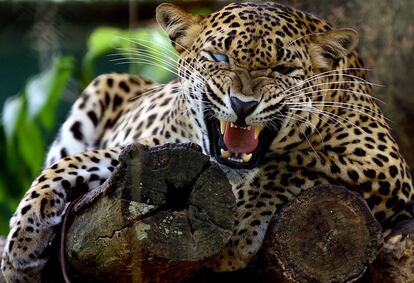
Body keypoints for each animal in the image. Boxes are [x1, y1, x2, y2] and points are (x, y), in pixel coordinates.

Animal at [1, 2, 412, 283]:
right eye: (218, 57)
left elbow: (290, 164)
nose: (243, 105)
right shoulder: (155, 150)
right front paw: (21, 241)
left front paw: (237, 236)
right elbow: (70, 165)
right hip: (106, 84)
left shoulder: (382, 163)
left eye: (282, 69)